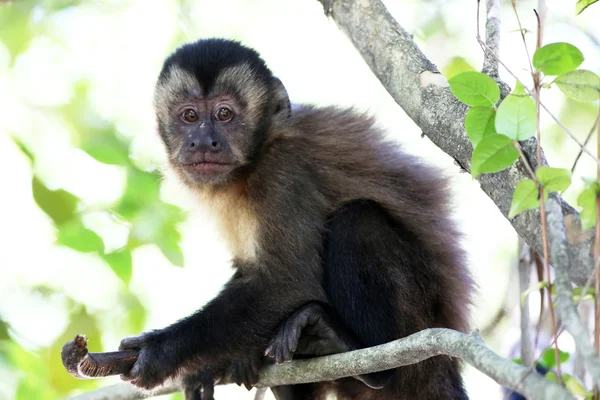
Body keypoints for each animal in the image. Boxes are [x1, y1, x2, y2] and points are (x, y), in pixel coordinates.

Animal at [119, 38, 472, 400]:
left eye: (224, 114)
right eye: (189, 115)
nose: (203, 141)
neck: (254, 162)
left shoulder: (284, 171)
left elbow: (289, 282)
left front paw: (160, 349)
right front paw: (211, 366)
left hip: (417, 320)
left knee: (358, 222)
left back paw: (361, 355)